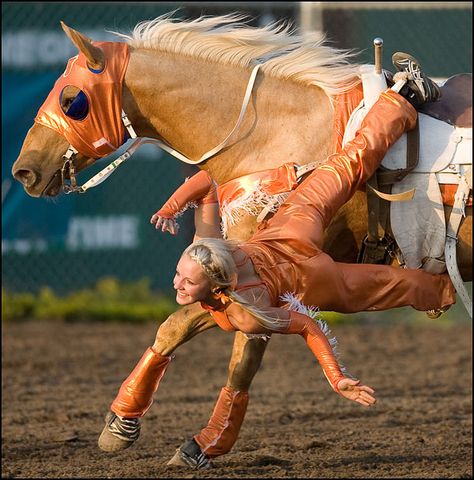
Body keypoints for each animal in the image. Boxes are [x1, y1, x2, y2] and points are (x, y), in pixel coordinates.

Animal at [10, 15, 470, 464]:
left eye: (71, 99)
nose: (23, 170)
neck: (276, 134)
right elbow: (177, 332)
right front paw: (125, 423)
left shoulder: (253, 280)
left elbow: (223, 347)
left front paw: (190, 440)